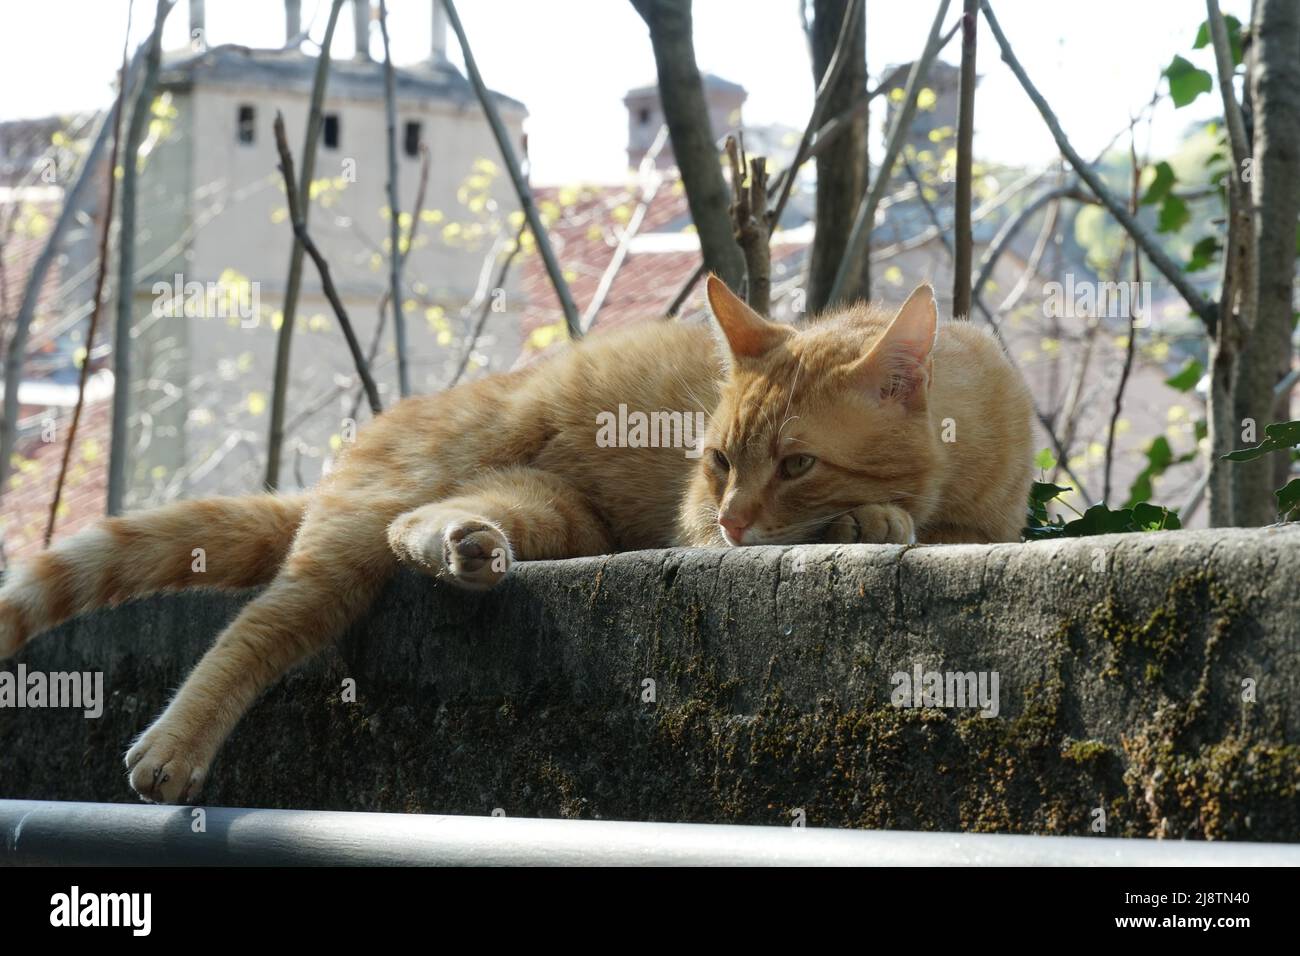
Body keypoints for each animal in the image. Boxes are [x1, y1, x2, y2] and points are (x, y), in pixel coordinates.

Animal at [0, 278, 1034, 806]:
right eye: (716, 462)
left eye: (797, 464)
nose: (734, 520)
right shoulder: (692, 522)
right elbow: (887, 517)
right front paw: (876, 519)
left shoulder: (993, 517)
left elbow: (942, 521)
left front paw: (881, 515)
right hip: (371, 525)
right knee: (272, 620)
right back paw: (174, 745)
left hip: (547, 513)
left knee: (418, 531)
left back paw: (462, 545)